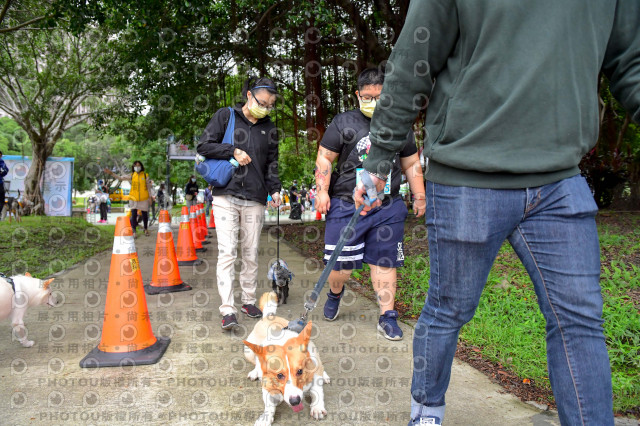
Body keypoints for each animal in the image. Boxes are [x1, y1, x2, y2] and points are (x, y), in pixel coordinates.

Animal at [245, 292, 332, 426]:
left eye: (300, 371)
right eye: (279, 375)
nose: (295, 401)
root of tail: (269, 316)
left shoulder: (314, 370)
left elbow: (316, 391)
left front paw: (317, 408)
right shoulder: (267, 386)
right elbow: (269, 404)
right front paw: (265, 418)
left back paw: (325, 375)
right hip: (248, 351)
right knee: (256, 361)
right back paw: (255, 372)